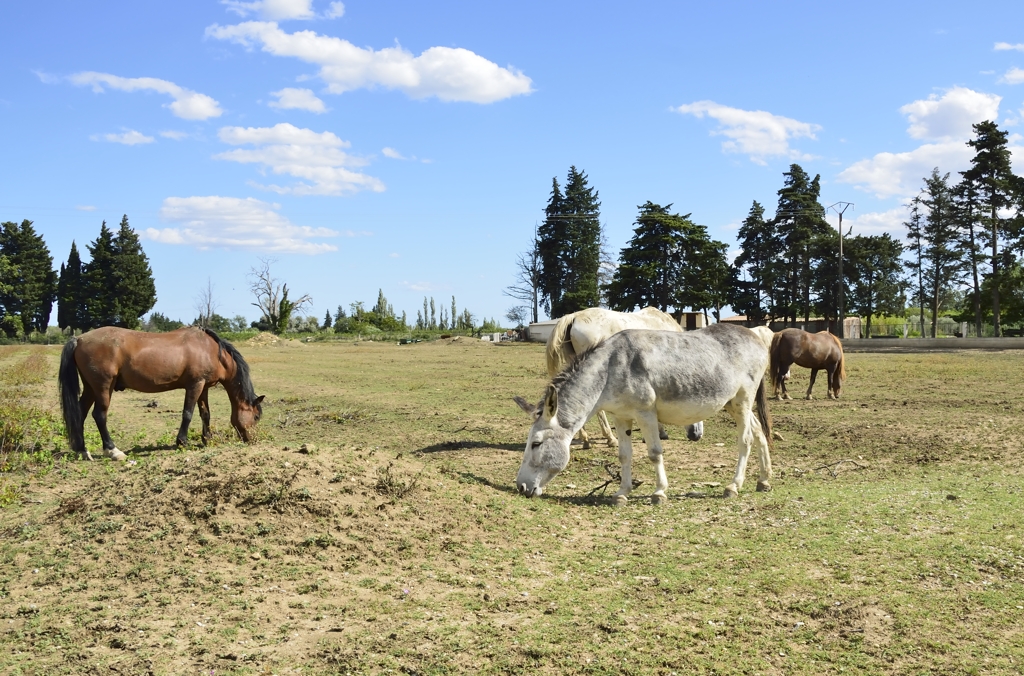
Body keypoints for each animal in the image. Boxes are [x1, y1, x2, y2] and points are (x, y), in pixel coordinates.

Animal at [59, 325, 264, 458]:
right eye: (256, 417)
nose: (253, 440)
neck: (211, 350)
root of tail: (79, 339)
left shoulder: (203, 387)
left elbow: (205, 414)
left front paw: (207, 439)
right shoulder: (195, 385)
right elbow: (187, 413)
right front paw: (182, 441)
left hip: (90, 388)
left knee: (80, 414)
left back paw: (82, 450)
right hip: (103, 387)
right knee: (99, 415)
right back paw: (113, 450)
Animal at [516, 325, 770, 503]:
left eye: (536, 444)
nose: (521, 488)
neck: (609, 369)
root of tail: (754, 334)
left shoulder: (646, 413)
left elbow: (655, 453)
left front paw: (659, 493)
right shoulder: (621, 416)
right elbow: (624, 455)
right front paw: (622, 493)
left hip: (743, 400)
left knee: (746, 439)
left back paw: (733, 486)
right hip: (732, 403)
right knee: (759, 432)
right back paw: (764, 480)